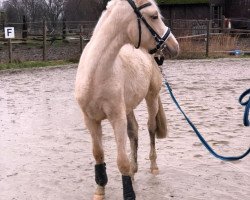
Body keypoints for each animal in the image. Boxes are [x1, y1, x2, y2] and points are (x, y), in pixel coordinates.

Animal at [75, 0, 179, 200]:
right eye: (154, 16)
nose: (174, 46)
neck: (96, 75)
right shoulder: (90, 120)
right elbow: (98, 154)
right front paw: (100, 190)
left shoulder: (117, 118)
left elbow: (121, 160)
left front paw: (129, 193)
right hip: (129, 107)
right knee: (134, 132)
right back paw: (133, 171)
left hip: (151, 98)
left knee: (150, 128)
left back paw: (153, 166)